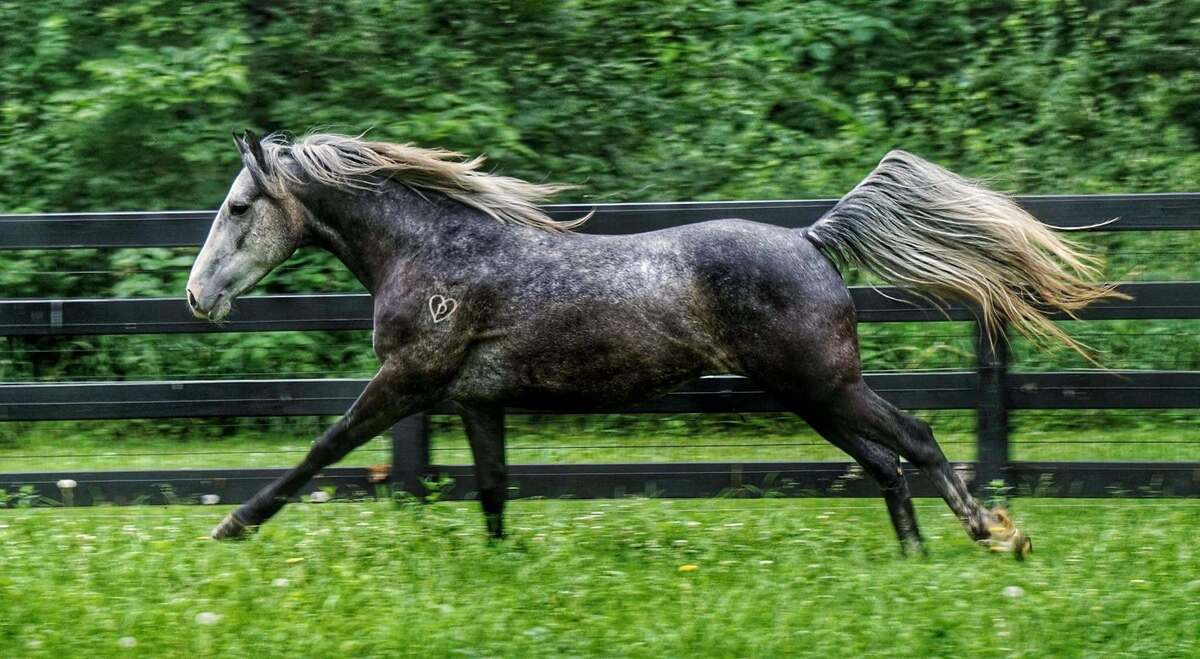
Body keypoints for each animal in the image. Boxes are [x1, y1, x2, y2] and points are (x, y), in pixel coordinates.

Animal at [187, 130, 1117, 557]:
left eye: (238, 206)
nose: (197, 297)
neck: (435, 252)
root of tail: (810, 239)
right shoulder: (476, 400)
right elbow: (492, 490)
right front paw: (500, 567)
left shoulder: (406, 381)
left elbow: (320, 451)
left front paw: (231, 524)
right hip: (810, 396)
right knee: (885, 461)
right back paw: (915, 556)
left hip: (824, 385)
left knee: (916, 440)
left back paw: (994, 534)